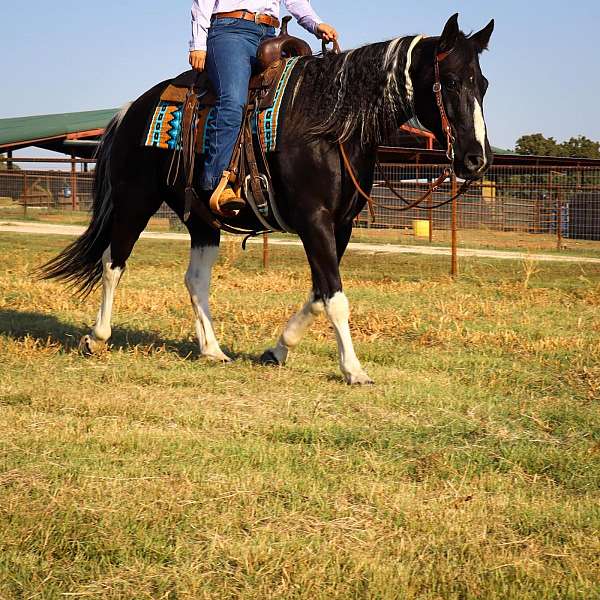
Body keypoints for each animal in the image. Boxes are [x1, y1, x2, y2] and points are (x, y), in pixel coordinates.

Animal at [41, 16, 492, 386]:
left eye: (482, 84)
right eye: (451, 81)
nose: (475, 159)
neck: (331, 123)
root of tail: (130, 109)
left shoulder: (340, 225)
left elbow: (319, 294)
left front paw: (277, 350)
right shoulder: (314, 219)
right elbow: (335, 299)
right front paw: (354, 369)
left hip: (201, 220)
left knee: (195, 279)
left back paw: (212, 350)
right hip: (135, 200)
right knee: (112, 263)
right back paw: (96, 338)